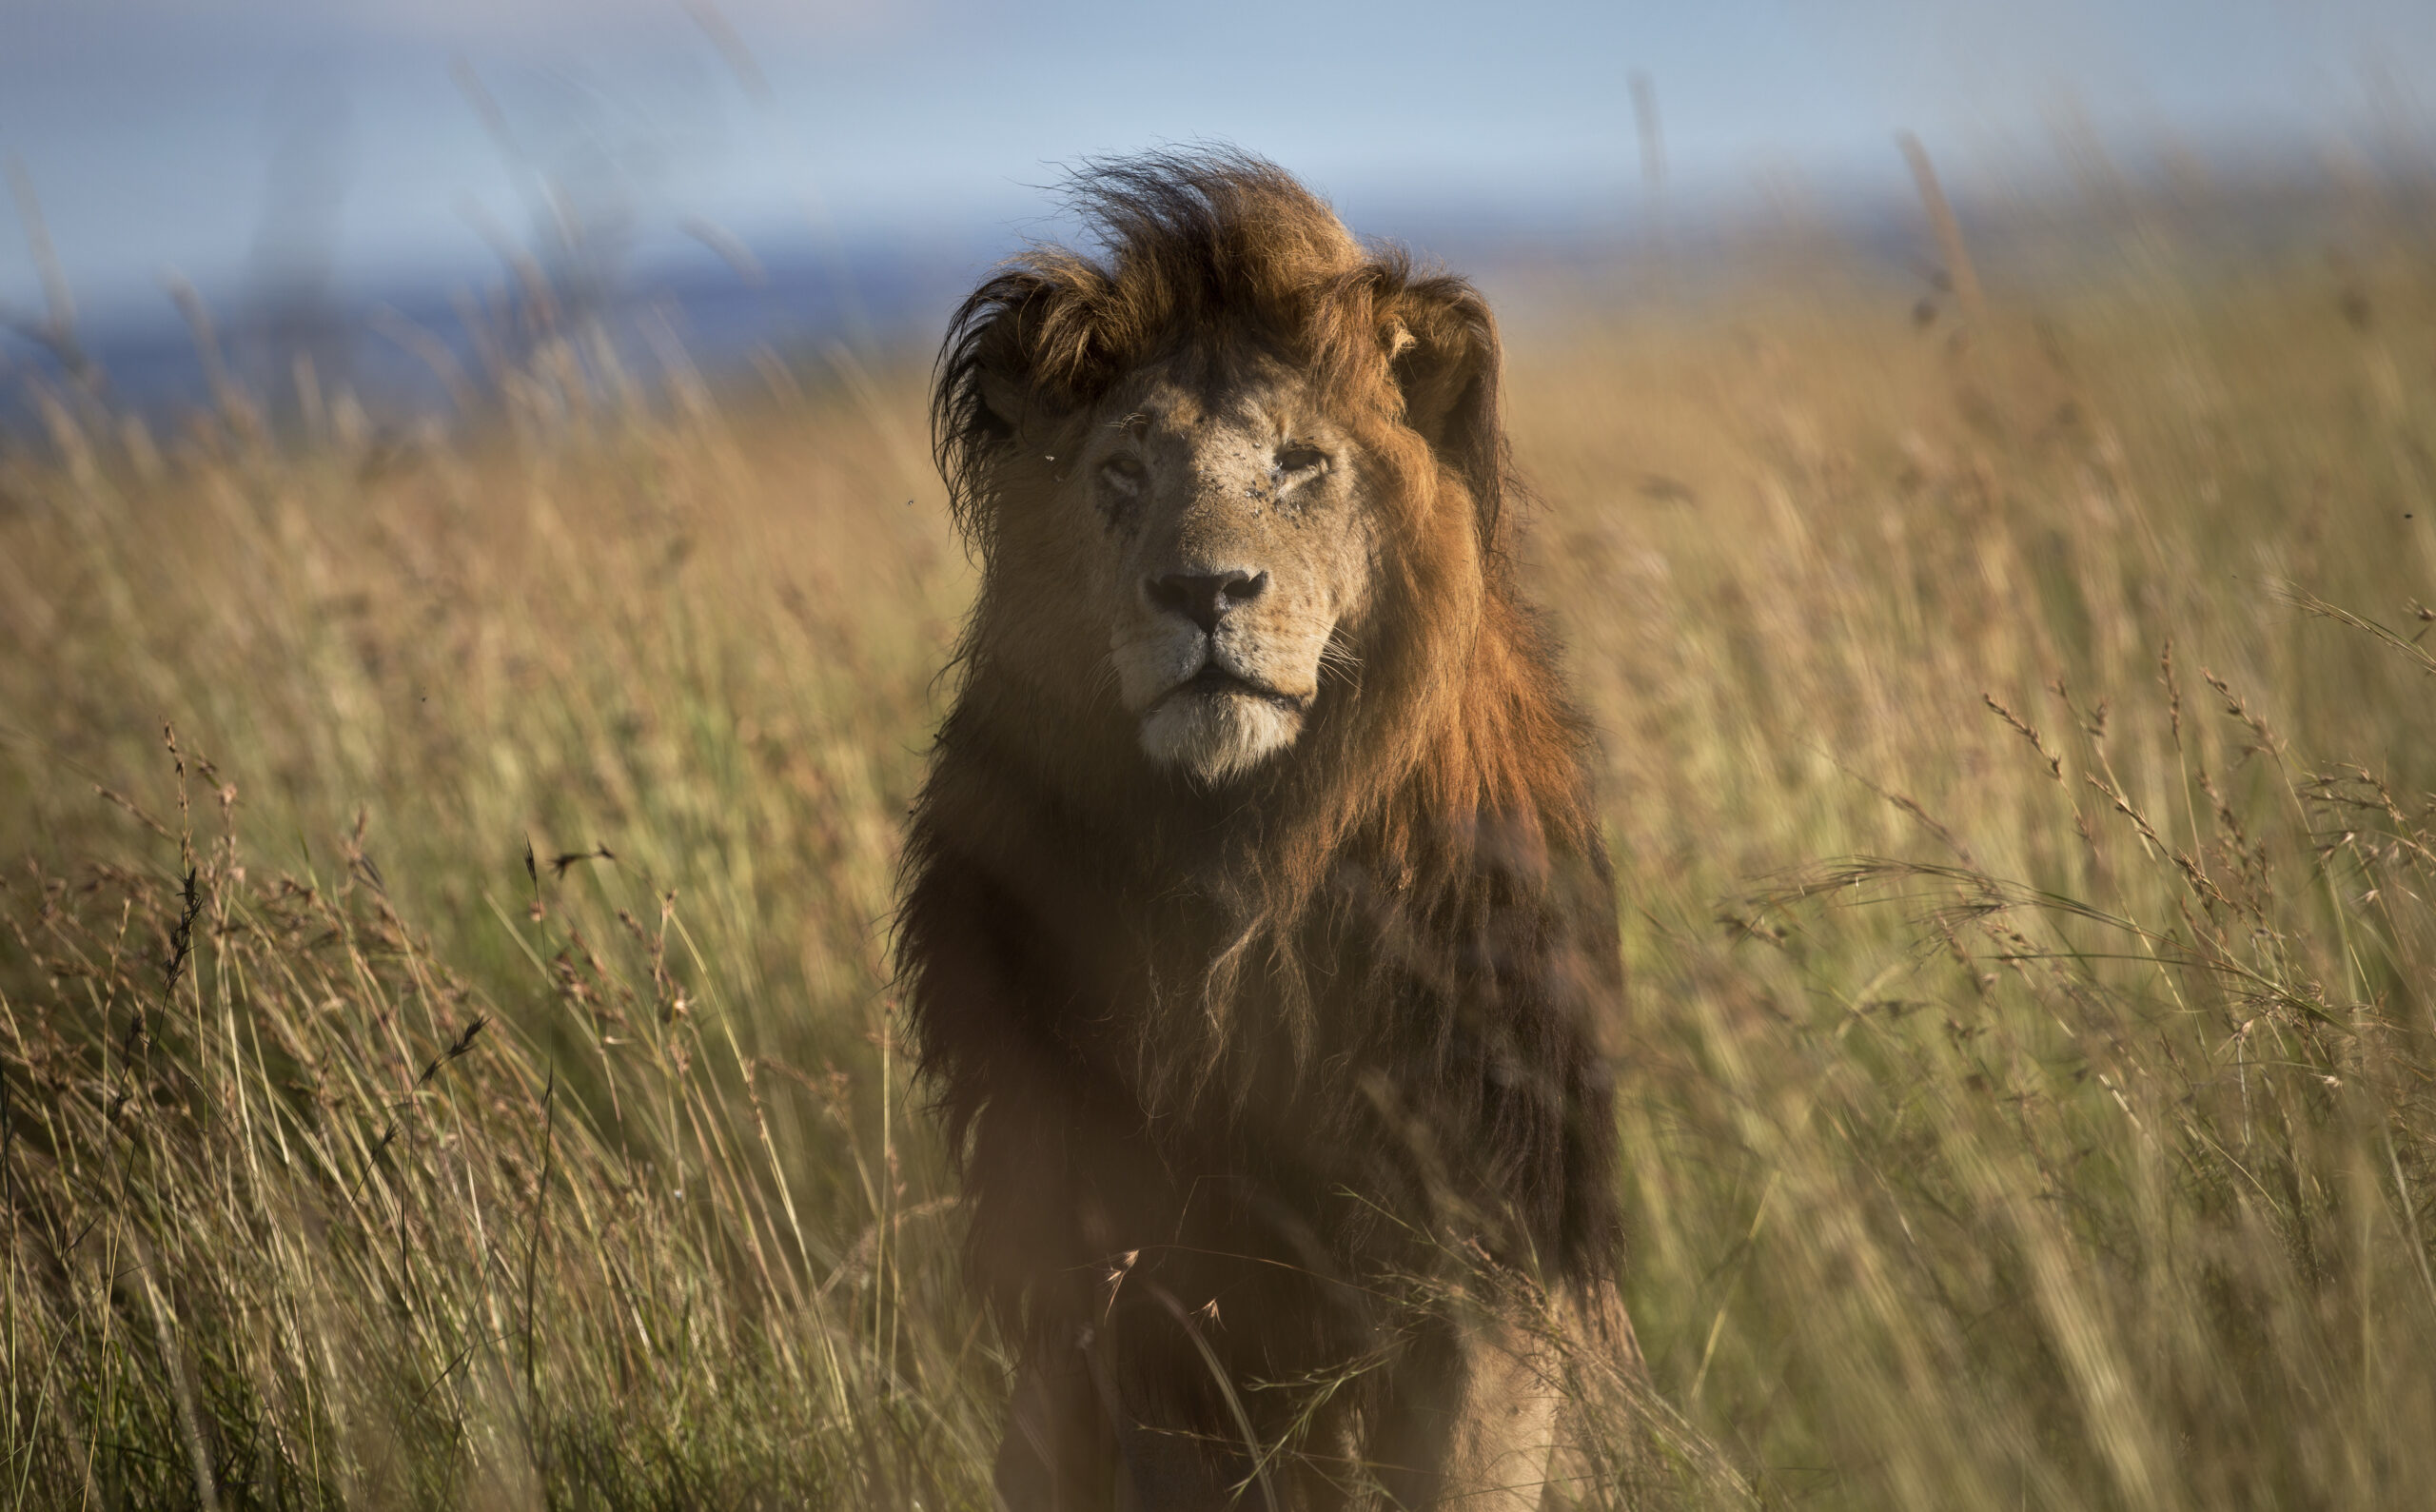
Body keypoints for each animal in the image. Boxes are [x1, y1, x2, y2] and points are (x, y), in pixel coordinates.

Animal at [896, 153, 1637, 1509]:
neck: (1241, 862)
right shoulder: (1135, 1274)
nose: (1203, 590)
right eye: (1122, 474)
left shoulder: (1491, 1238)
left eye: (1297, 466)